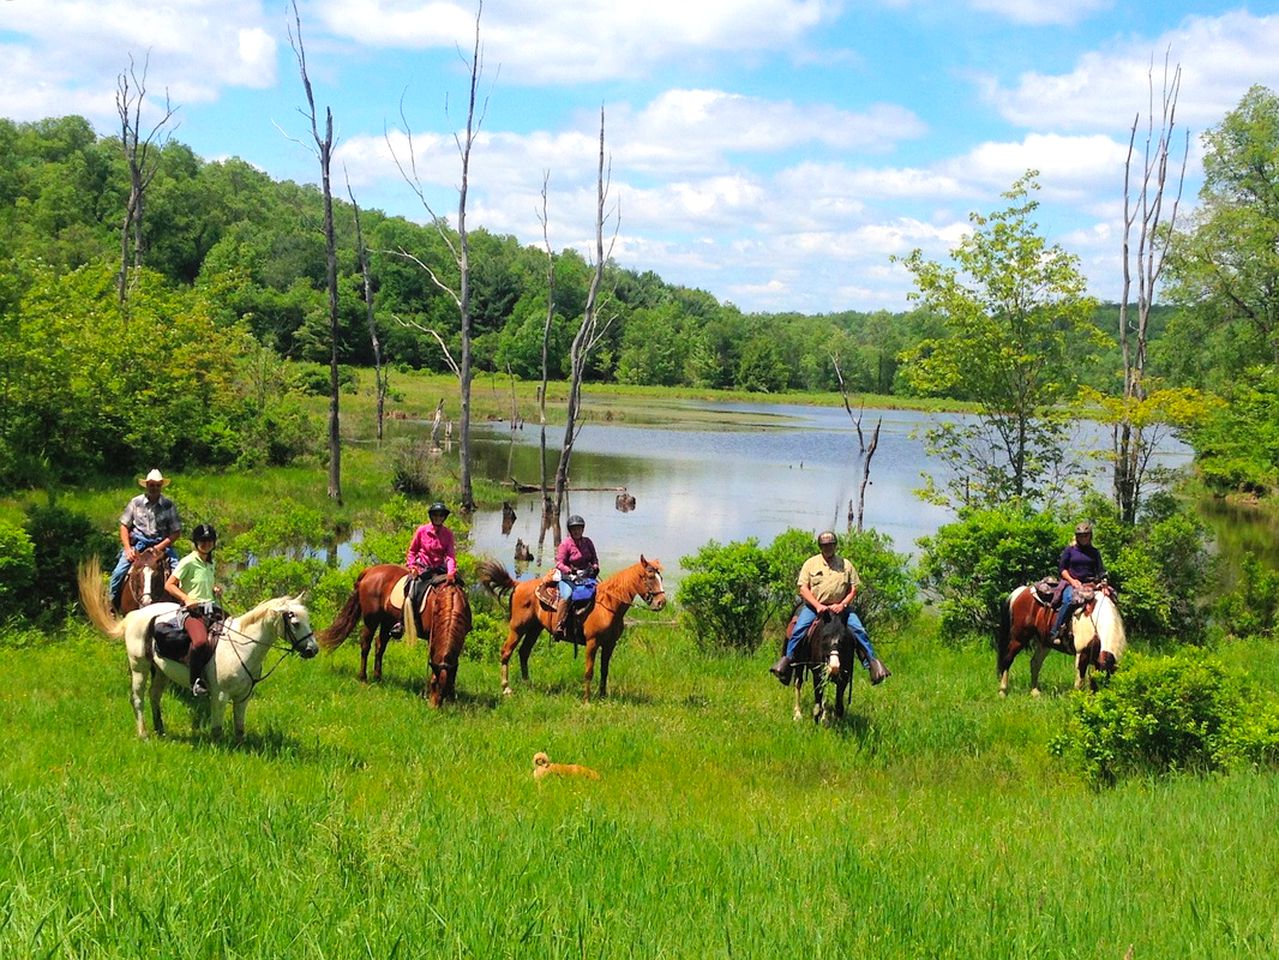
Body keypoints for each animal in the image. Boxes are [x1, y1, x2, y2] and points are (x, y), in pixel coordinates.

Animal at [78, 559, 318, 741]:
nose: (313, 650)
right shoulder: (219, 695)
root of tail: (136, 615)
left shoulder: (243, 696)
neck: (242, 647)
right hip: (139, 667)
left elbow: (239, 728)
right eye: (295, 622)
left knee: (154, 696)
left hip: (161, 671)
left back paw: (161, 731)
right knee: (138, 698)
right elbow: (217, 729)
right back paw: (144, 734)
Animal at [475, 554, 665, 705]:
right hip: (518, 627)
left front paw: (602, 696)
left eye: (661, 577)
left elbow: (604, 670)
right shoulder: (592, 643)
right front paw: (587, 701)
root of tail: (518, 584)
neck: (608, 606)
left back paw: (527, 684)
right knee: (506, 652)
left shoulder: (610, 644)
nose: (661, 603)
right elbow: (589, 672)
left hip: (535, 628)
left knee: (524, 652)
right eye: (649, 577)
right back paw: (506, 689)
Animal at [992, 577, 1125, 700]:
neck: (1097, 617)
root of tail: (1021, 591)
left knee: (1035, 663)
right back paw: (1002, 692)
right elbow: (1079, 681)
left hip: (1044, 642)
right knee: (1007, 659)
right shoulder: (1082, 653)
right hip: (1019, 638)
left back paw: (1035, 692)